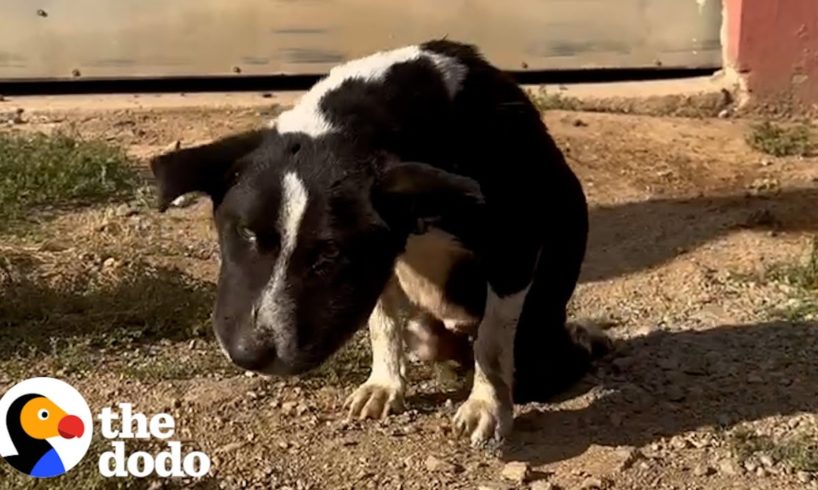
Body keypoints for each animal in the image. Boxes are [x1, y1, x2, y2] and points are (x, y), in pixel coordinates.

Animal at [150, 40, 608, 446]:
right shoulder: (383, 265)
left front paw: (487, 407)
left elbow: (493, 341)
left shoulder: (515, 247)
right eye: (245, 232)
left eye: (332, 252)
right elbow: (383, 323)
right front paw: (384, 386)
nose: (248, 354)